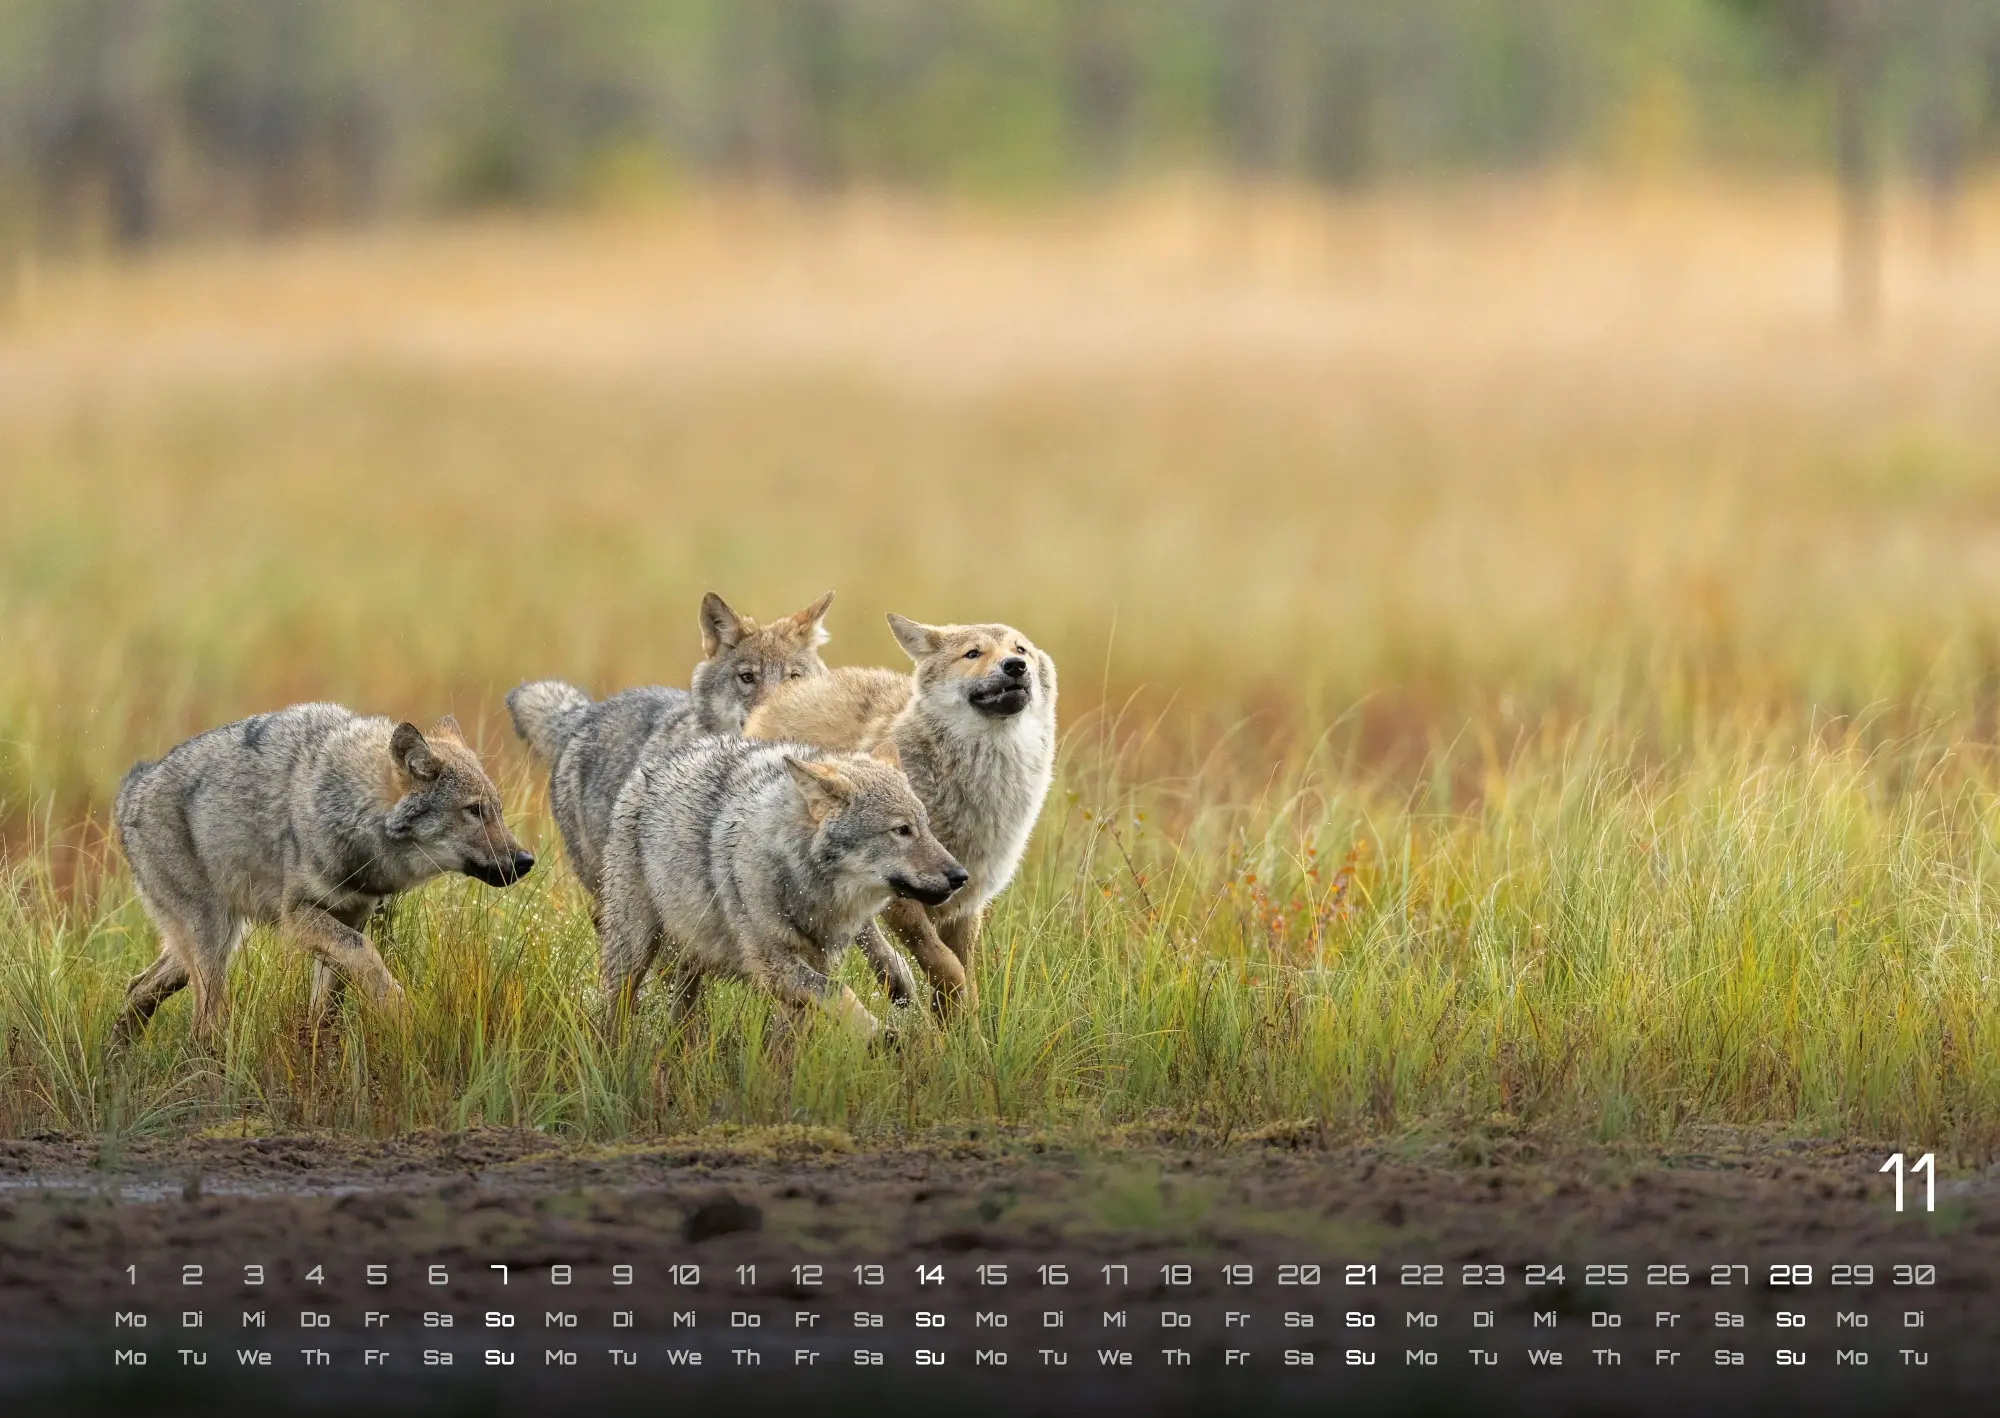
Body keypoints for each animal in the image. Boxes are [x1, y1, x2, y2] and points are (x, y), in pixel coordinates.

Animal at [111, 706, 534, 1043]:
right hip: (214, 945)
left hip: (202, 950)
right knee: (202, 1025)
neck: (349, 807)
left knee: (137, 988)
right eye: (475, 810)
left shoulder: (351, 917)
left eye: (497, 809)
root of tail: (132, 790)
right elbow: (367, 957)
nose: (526, 860)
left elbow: (325, 1011)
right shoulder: (297, 918)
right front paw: (401, 1012)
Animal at [596, 735, 966, 1038]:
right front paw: (881, 1036)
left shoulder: (816, 962)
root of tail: (648, 767)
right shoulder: (774, 967)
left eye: (926, 827)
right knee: (617, 1011)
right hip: (634, 952)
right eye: (901, 830)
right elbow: (839, 993)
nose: (960, 876)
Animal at [744, 614, 1057, 1014]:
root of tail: (782, 693)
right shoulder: (902, 898)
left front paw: (963, 1024)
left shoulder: (965, 902)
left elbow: (961, 972)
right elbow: (944, 964)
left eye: (1021, 650)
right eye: (973, 653)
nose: (1015, 666)